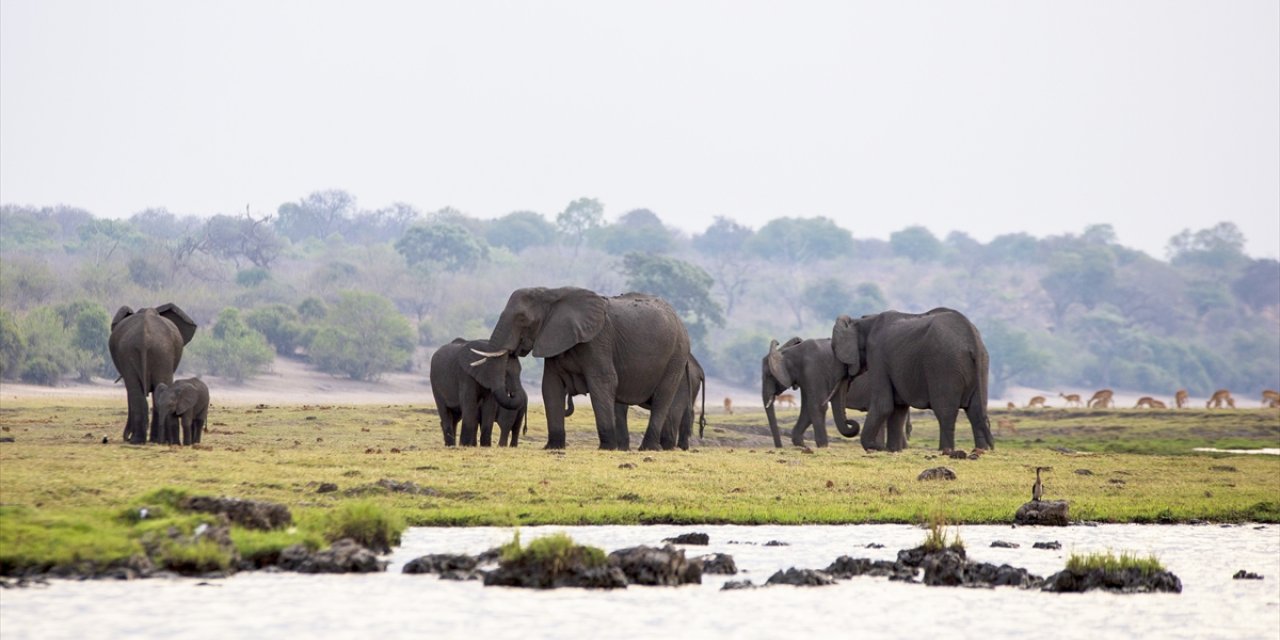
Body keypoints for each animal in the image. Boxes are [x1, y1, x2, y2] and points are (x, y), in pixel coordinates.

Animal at [108, 302, 197, 442]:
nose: (126, 437)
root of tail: (144, 338)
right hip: (154, 352)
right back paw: (142, 440)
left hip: (157, 352)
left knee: (139, 391)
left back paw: (140, 440)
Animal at [757, 337, 911, 448]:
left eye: (768, 376)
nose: (779, 447)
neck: (789, 352)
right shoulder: (806, 377)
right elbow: (808, 409)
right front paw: (801, 445)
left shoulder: (813, 371)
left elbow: (816, 406)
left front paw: (822, 446)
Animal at [824, 307, 993, 453]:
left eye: (835, 351)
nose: (851, 422)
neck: (862, 321)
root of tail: (972, 339)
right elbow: (898, 409)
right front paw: (892, 451)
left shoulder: (877, 356)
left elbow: (884, 405)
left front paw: (877, 448)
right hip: (981, 363)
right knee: (976, 410)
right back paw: (981, 450)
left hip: (944, 365)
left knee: (945, 411)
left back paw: (946, 451)